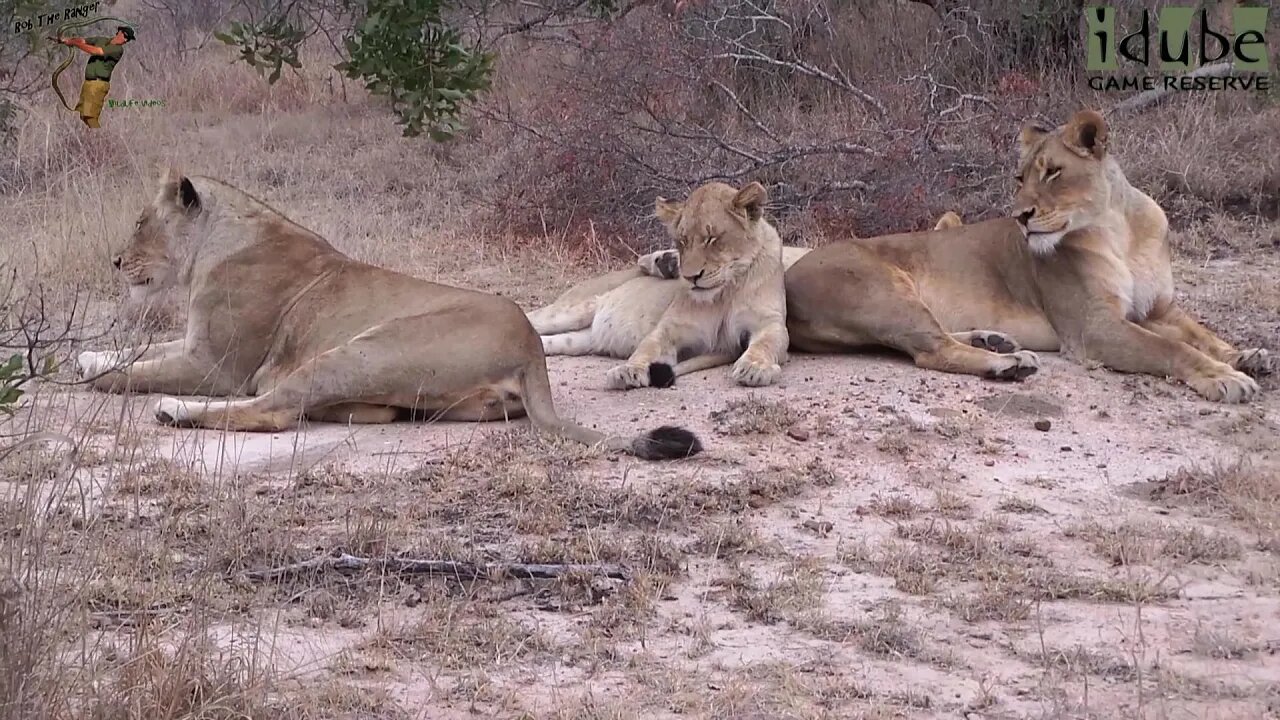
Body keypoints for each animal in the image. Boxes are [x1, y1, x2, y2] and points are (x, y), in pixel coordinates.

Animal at [76, 167, 706, 456]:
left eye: (140, 223)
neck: (217, 242)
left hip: (362, 351)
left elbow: (132, 372)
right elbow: (136, 350)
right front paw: (86, 356)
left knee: (272, 411)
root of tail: (531, 346)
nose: (114, 261)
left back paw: (175, 411)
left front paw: (89, 373)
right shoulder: (194, 347)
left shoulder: (218, 367)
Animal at [522, 181, 788, 389]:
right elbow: (647, 348)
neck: (725, 293)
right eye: (682, 240)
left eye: (711, 238)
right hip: (569, 311)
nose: (690, 277)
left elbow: (765, 343)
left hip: (581, 340)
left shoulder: (769, 322)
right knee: (533, 318)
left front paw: (755, 368)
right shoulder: (669, 329)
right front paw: (627, 370)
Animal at [778, 106, 1269, 399]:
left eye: (1053, 173)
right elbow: (1171, 348)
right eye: (1020, 177)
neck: (1119, 229)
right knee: (931, 350)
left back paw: (993, 340)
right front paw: (1224, 378)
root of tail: (789, 274)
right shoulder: (1093, 328)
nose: (1020, 215)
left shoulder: (1159, 308)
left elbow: (1201, 333)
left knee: (933, 336)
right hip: (885, 289)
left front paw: (1244, 355)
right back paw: (1009, 363)